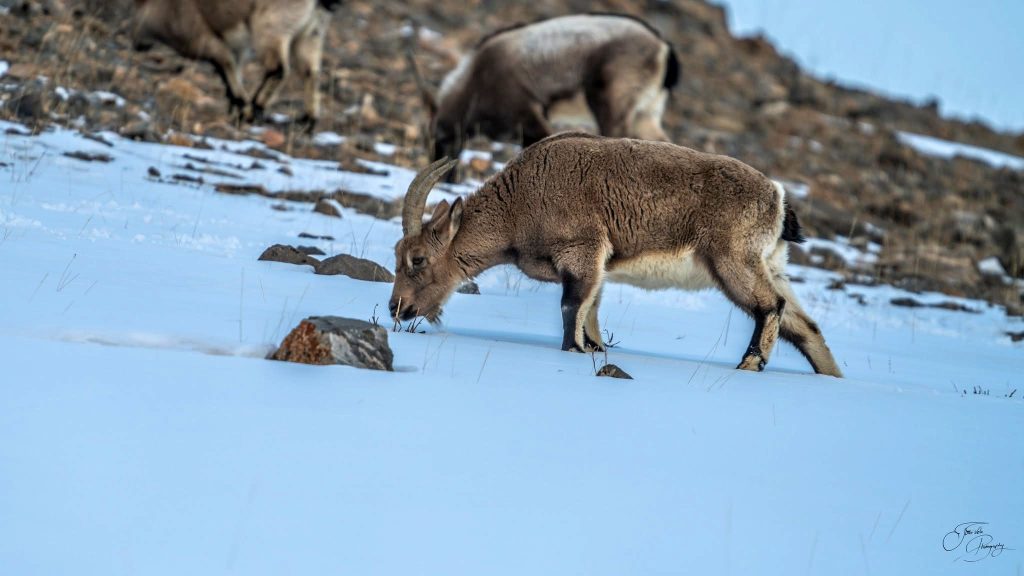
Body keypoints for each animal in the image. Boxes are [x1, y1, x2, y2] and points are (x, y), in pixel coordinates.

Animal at [129, 0, 339, 129]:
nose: (137, 43)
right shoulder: (235, 48)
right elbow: (232, 72)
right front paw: (235, 107)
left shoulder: (206, 41)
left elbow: (226, 66)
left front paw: (241, 108)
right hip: (312, 31)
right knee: (310, 73)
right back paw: (307, 121)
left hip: (272, 26)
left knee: (278, 69)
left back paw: (255, 108)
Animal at [389, 133, 843, 377]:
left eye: (417, 259)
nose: (397, 308)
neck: (519, 205)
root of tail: (777, 198)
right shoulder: (596, 267)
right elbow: (590, 313)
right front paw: (593, 349)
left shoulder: (582, 250)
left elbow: (572, 309)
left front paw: (575, 352)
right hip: (770, 264)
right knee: (806, 326)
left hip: (733, 260)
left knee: (771, 306)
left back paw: (750, 365)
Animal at [420, 13, 680, 168]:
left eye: (438, 138)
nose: (448, 178)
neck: (474, 80)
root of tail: (663, 47)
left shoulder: (529, 118)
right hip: (646, 114)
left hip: (611, 104)